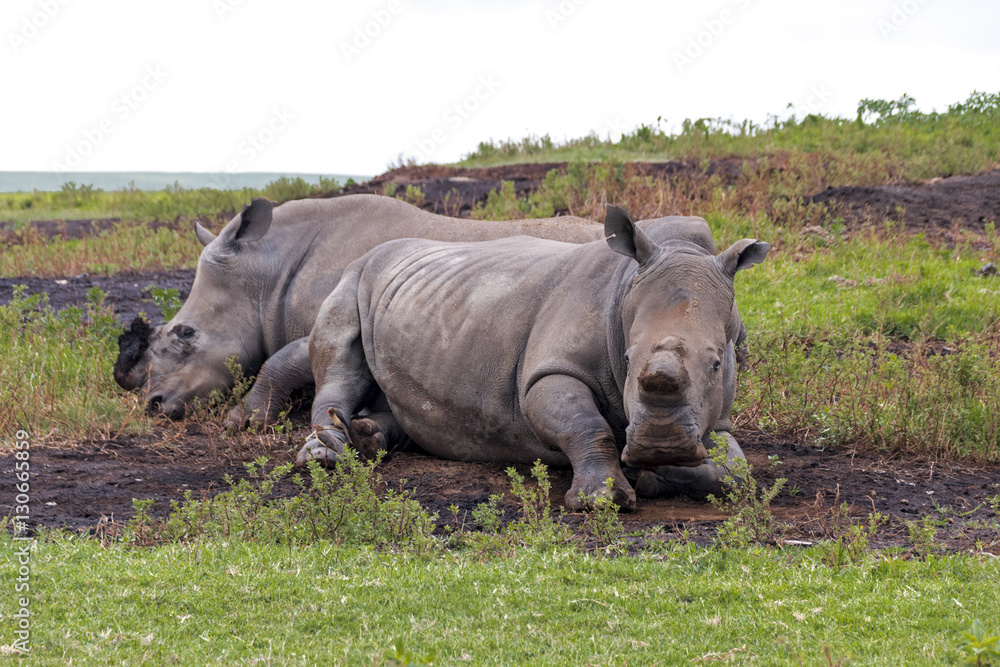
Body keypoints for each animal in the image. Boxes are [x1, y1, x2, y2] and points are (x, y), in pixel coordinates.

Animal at [302, 205, 768, 509]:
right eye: (628, 357)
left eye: (717, 363)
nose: (660, 443)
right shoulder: (547, 372)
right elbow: (586, 424)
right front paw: (602, 499)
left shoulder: (717, 414)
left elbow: (735, 471)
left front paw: (657, 476)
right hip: (353, 275)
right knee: (338, 361)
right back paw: (324, 454)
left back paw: (367, 437)